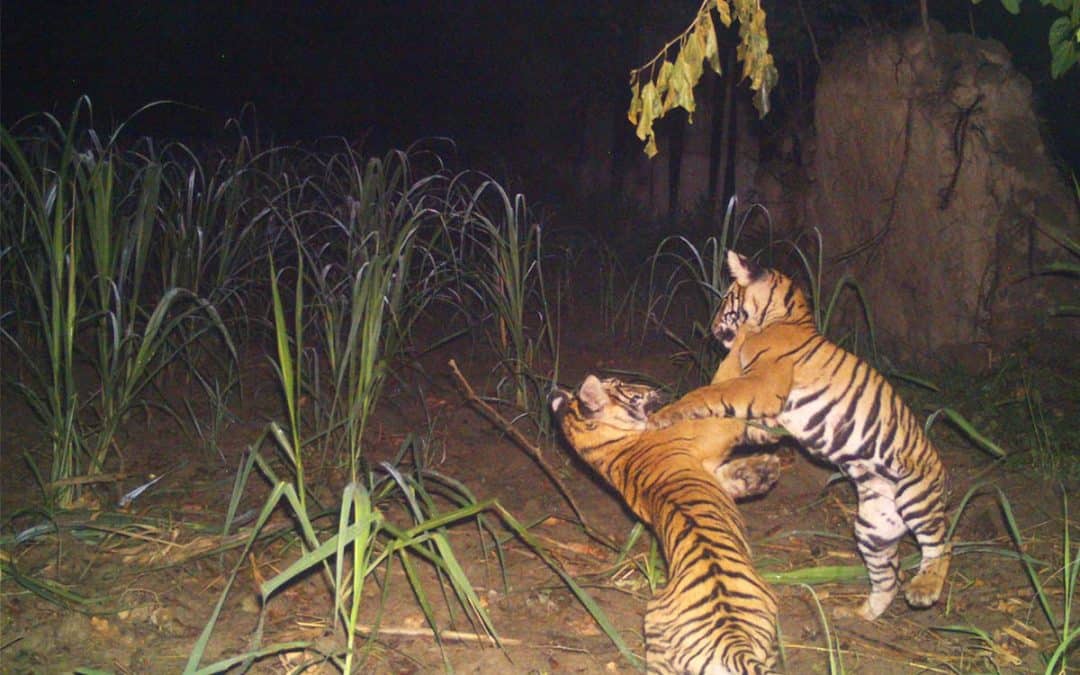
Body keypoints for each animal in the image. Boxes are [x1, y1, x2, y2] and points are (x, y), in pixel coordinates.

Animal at [550, 374, 780, 674]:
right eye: (622, 385)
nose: (654, 390)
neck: (605, 445)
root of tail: (734, 645)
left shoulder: (713, 470)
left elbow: (733, 475)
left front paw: (763, 470)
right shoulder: (707, 433)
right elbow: (731, 421)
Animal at [649, 250, 950, 621]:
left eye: (725, 300)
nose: (712, 329)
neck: (784, 318)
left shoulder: (762, 385)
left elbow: (711, 393)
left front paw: (665, 415)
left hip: (916, 495)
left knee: (941, 543)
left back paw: (924, 590)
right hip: (873, 528)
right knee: (888, 577)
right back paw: (858, 613)